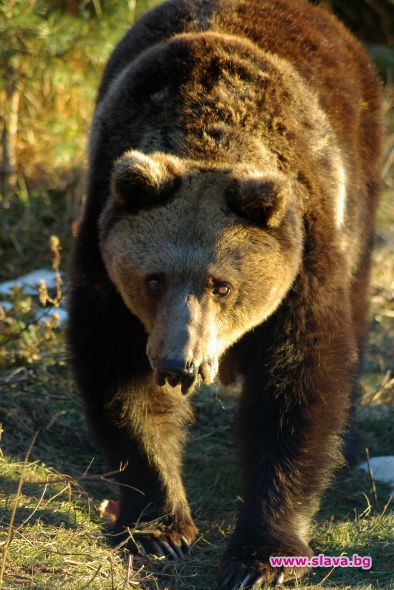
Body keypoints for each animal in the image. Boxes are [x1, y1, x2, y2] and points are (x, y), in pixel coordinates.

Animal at [67, 2, 382, 588]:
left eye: (223, 284)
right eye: (154, 278)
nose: (179, 363)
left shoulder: (304, 255)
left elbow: (297, 387)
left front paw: (259, 557)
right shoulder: (105, 253)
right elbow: (120, 378)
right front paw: (161, 529)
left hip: (362, 182)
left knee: (356, 308)